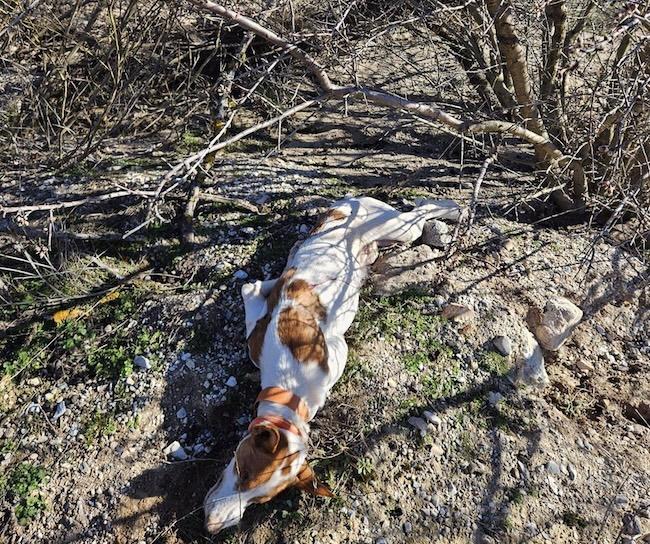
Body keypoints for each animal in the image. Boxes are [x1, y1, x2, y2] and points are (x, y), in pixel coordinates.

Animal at [202, 194, 460, 532]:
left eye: (257, 497)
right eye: (241, 471)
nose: (211, 526)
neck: (291, 388)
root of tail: (351, 199)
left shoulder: (336, 347)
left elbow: (257, 289)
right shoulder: (256, 331)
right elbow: (252, 287)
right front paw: (274, 280)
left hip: (402, 230)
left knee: (421, 211)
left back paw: (451, 208)